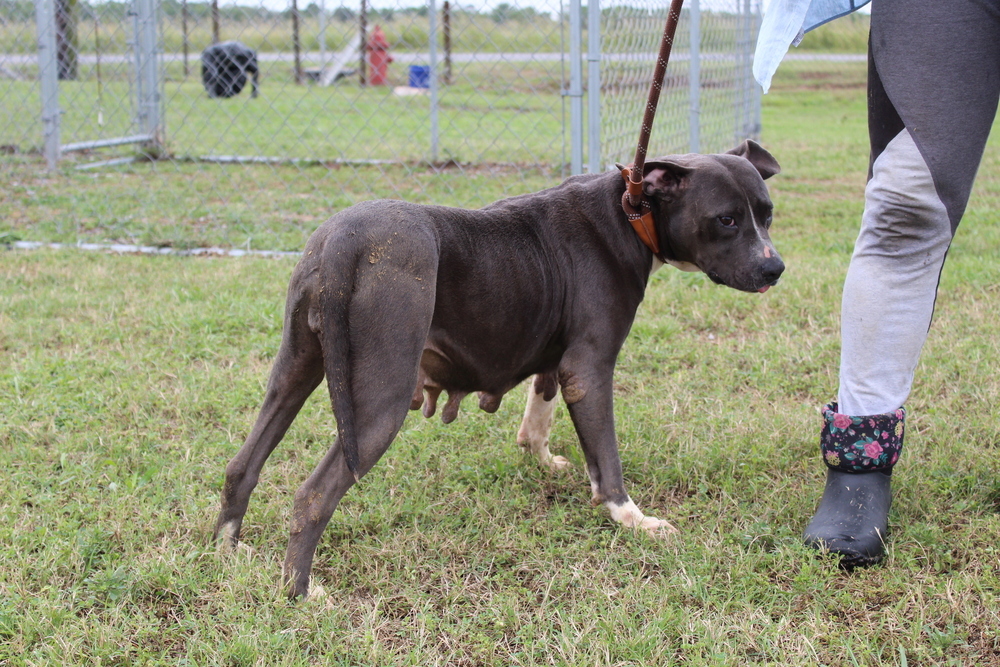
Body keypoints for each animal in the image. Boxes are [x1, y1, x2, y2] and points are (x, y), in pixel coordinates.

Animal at [215, 141, 784, 600]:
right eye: (726, 219)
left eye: (767, 214)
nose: (775, 268)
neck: (631, 210)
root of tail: (342, 241)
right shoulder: (591, 367)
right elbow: (606, 459)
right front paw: (631, 518)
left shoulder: (559, 359)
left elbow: (541, 408)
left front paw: (541, 457)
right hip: (379, 402)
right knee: (313, 495)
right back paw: (300, 593)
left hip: (295, 370)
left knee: (244, 464)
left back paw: (228, 550)